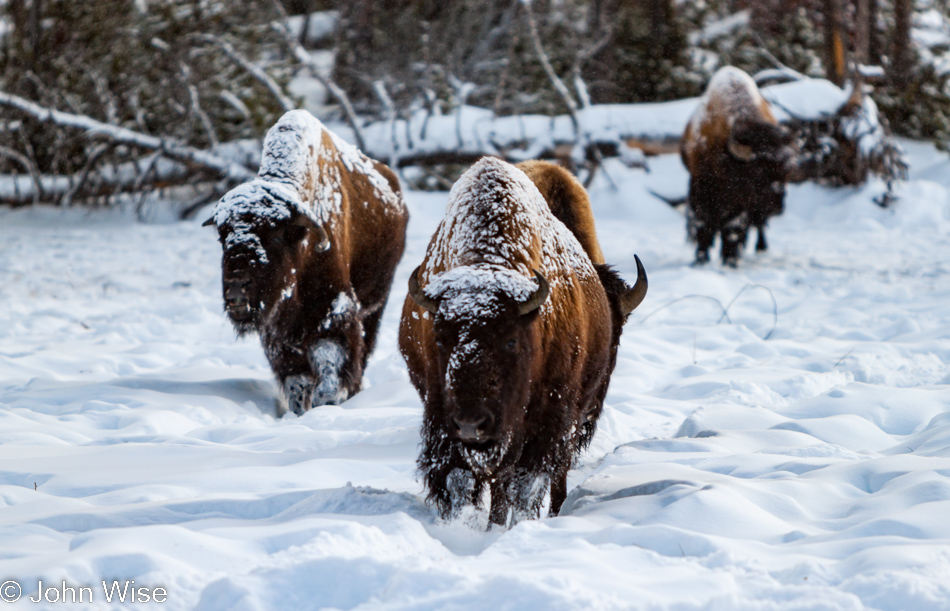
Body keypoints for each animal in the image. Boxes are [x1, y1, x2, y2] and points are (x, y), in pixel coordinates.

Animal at [208, 110, 410, 416]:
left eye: (276, 236)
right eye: (223, 235)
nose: (236, 292)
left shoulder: (333, 315)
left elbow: (330, 370)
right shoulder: (278, 337)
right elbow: (296, 380)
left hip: (374, 306)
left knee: (362, 354)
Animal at [398, 157, 652, 524]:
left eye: (510, 341)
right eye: (440, 339)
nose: (471, 424)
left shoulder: (548, 419)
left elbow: (524, 483)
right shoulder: (442, 415)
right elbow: (462, 479)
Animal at [680, 65, 800, 266]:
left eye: (787, 171)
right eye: (758, 170)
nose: (778, 207)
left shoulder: (741, 205)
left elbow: (733, 229)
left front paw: (730, 261)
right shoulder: (700, 190)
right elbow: (703, 225)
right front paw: (701, 260)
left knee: (758, 225)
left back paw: (759, 248)